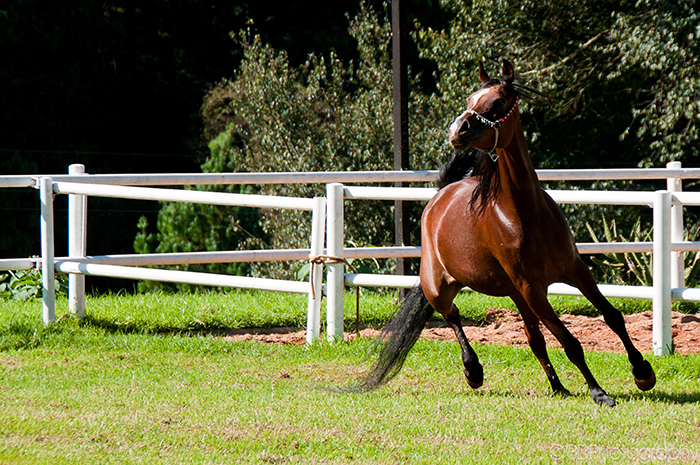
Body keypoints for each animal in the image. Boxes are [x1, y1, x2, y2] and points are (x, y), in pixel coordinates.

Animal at [359, 60, 656, 407]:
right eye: (471, 98)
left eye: (498, 102)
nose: (457, 131)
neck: (526, 214)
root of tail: (440, 195)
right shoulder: (532, 289)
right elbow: (570, 342)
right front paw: (599, 392)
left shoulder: (575, 271)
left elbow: (612, 317)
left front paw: (643, 372)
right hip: (439, 287)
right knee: (452, 315)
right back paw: (473, 371)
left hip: (515, 294)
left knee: (534, 338)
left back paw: (558, 386)